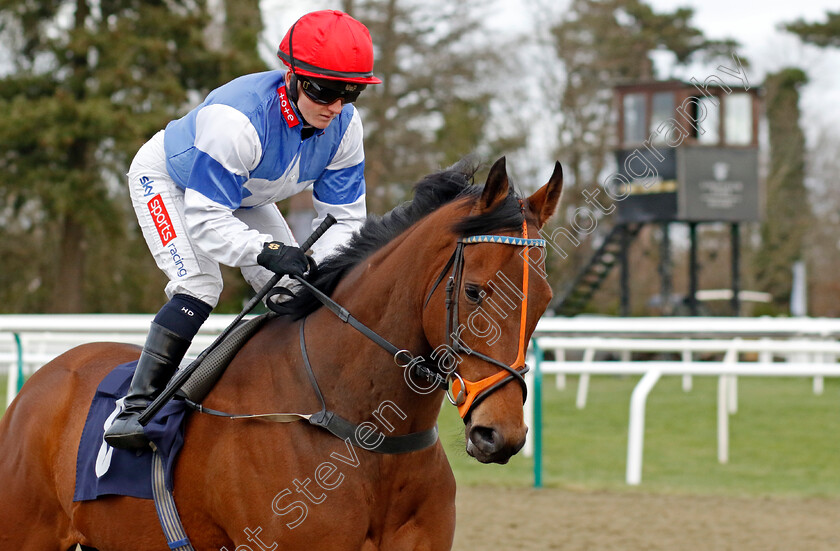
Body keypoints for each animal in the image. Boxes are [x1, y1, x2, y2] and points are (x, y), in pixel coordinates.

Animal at [1, 157, 564, 548]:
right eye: (474, 291)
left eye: (544, 300)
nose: (500, 434)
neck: (357, 427)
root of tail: (44, 377)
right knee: (195, 286)